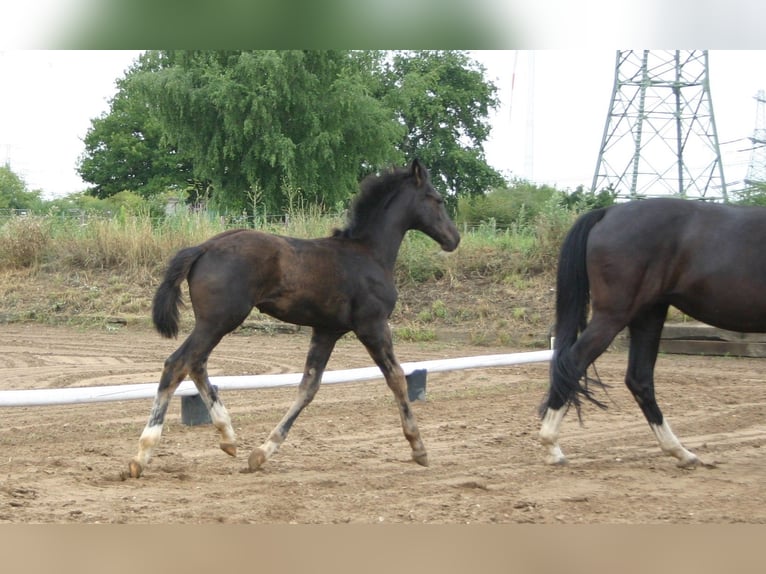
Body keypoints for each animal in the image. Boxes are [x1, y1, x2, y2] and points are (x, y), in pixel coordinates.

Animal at [128, 159, 460, 478]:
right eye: (438, 199)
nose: (454, 238)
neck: (369, 254)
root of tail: (204, 247)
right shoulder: (372, 325)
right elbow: (396, 377)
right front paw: (418, 448)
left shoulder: (326, 330)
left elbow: (308, 387)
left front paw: (261, 453)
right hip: (219, 320)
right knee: (178, 364)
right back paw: (141, 456)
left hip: (214, 323)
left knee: (196, 364)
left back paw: (228, 438)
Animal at [539, 197, 766, 468]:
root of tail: (609, 211)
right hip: (615, 315)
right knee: (572, 364)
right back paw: (552, 447)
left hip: (649, 314)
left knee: (639, 379)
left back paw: (680, 451)